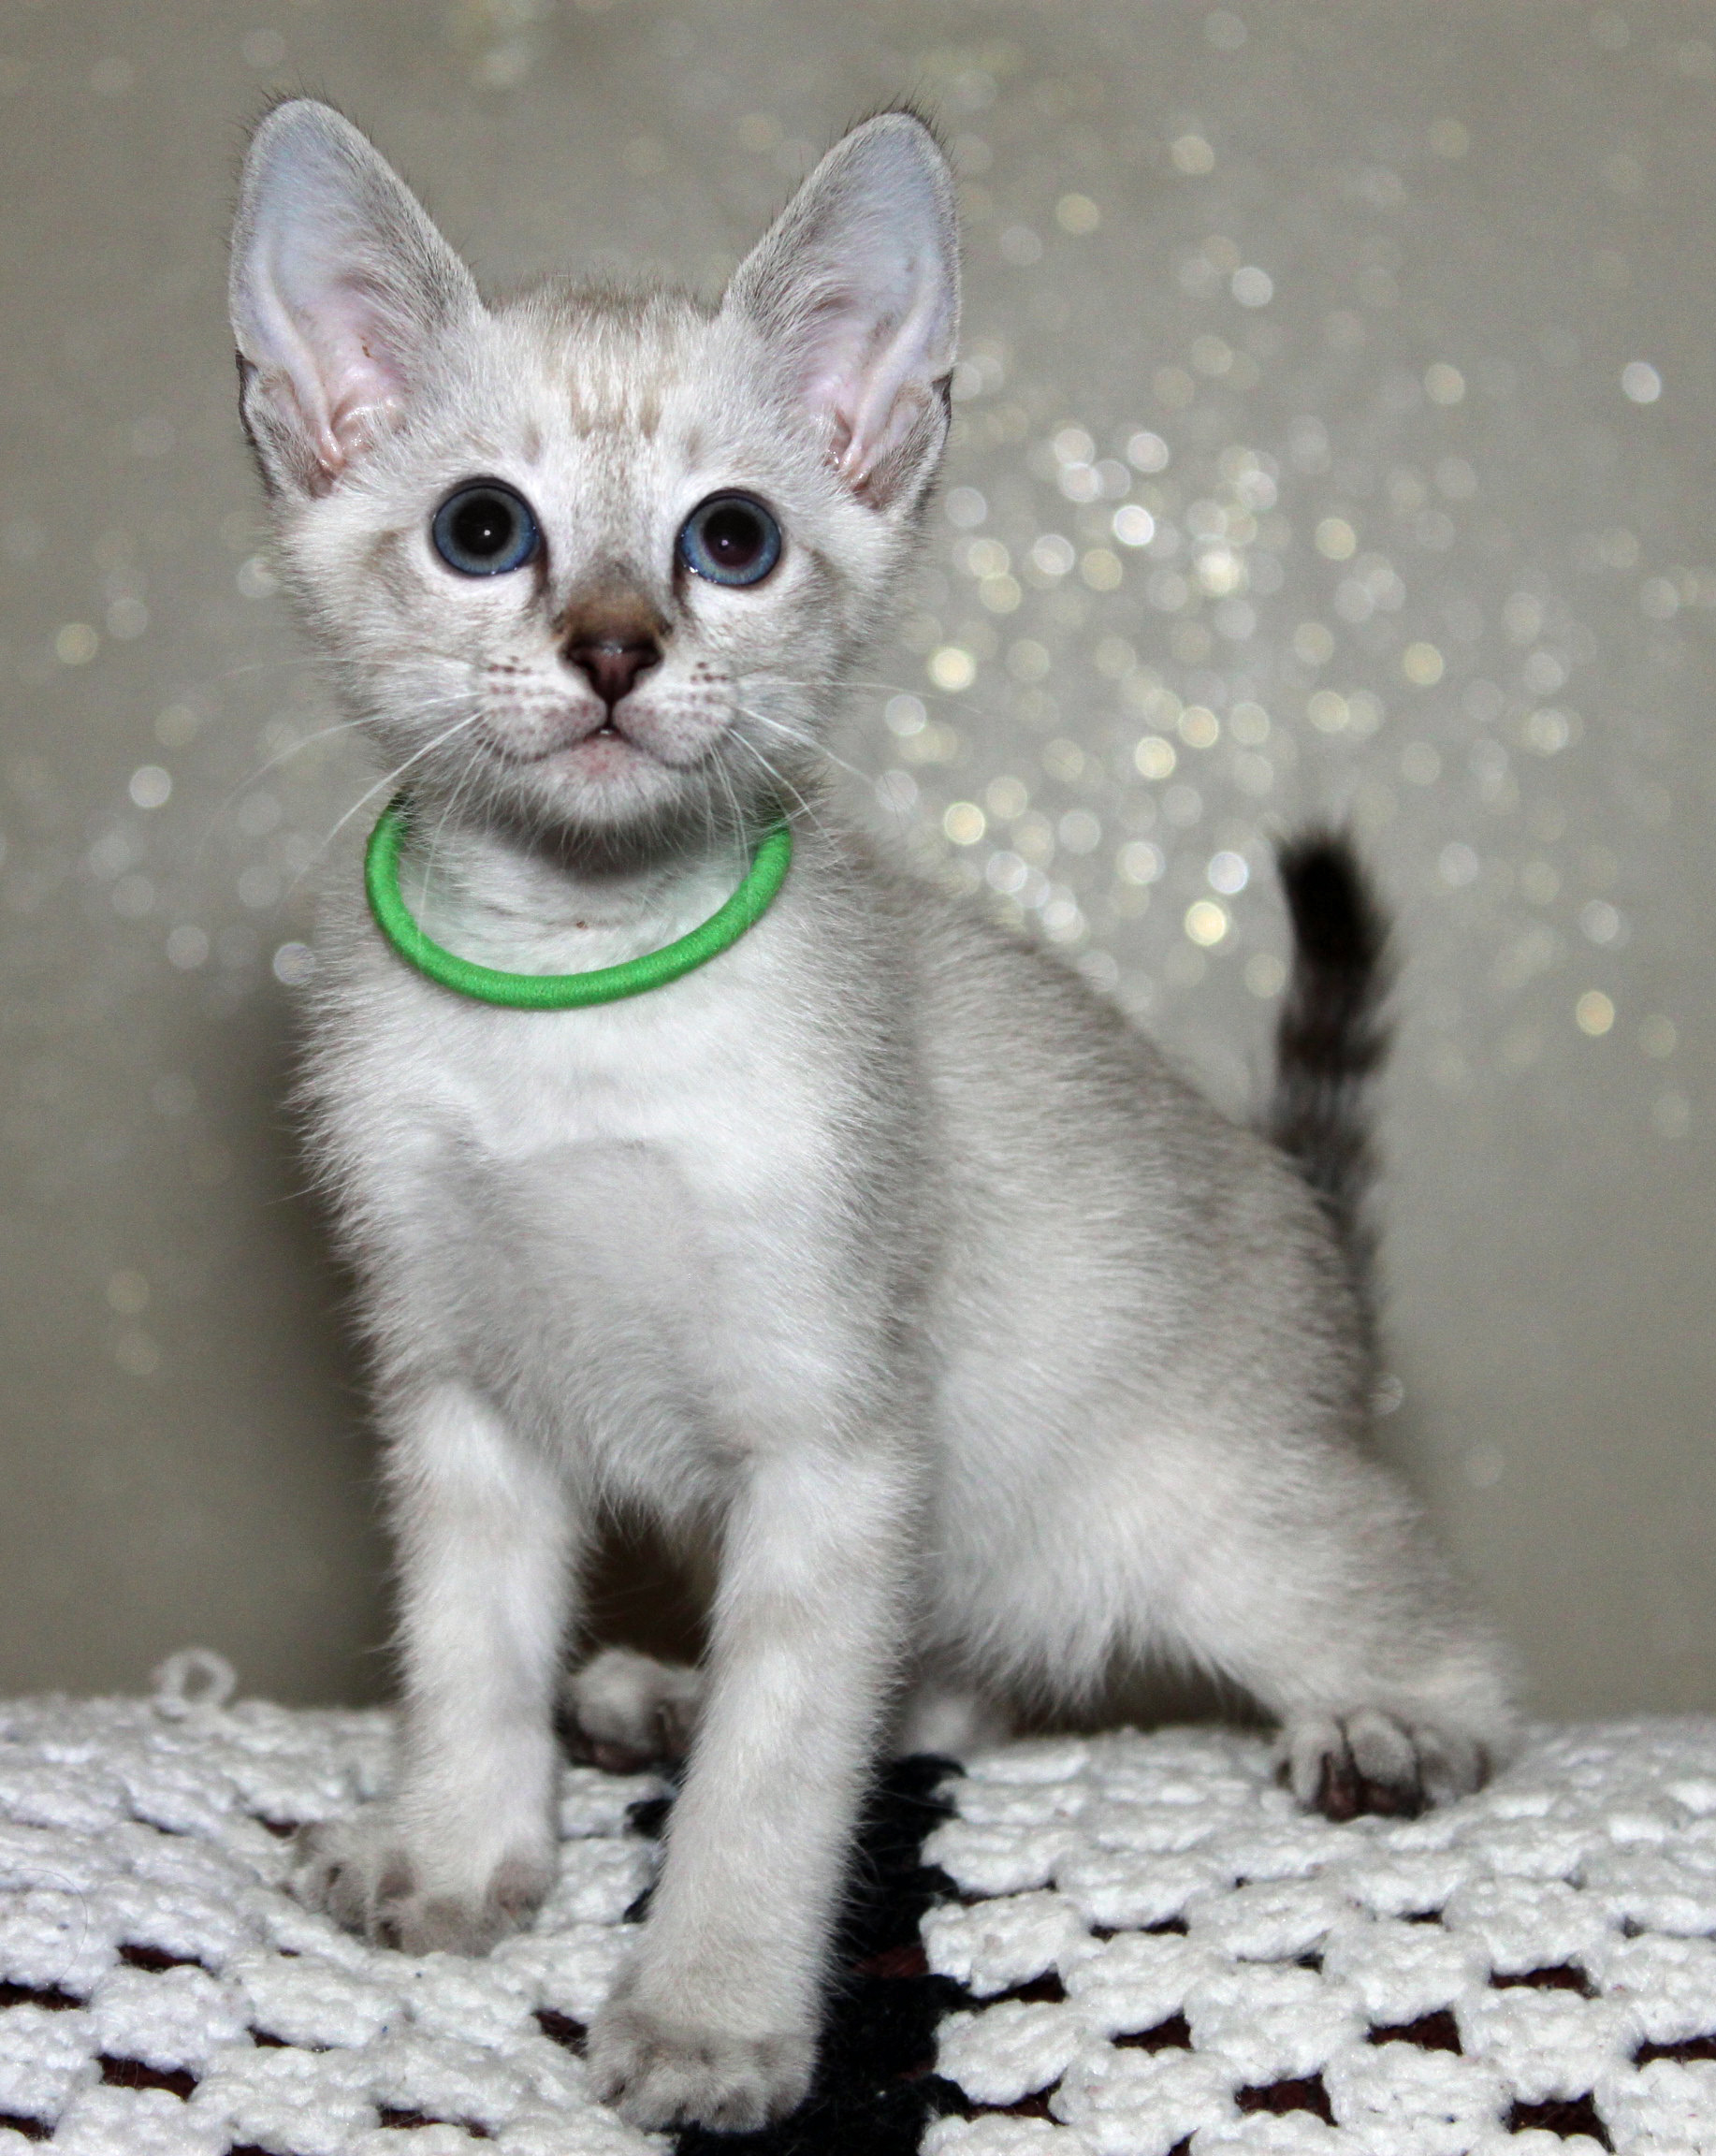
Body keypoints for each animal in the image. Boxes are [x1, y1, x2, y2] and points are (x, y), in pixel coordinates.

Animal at [228, 99, 1517, 2132]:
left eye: (730, 540)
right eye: (482, 530)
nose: (613, 649)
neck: (580, 993)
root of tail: (1313, 1241)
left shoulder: (836, 1443)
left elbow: (778, 1770)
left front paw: (705, 2017)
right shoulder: (459, 1390)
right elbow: (464, 1655)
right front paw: (456, 1853)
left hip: (1192, 1524)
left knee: (1428, 1637)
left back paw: (1392, 1729)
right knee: (945, 1686)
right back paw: (657, 1698)